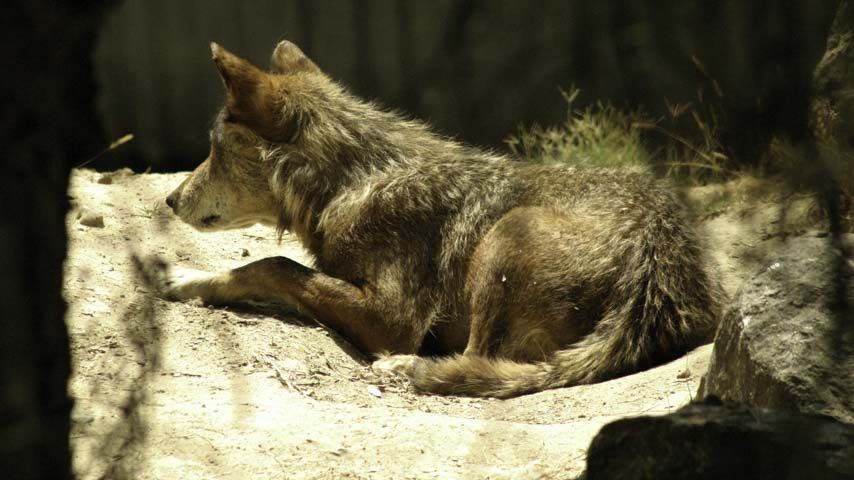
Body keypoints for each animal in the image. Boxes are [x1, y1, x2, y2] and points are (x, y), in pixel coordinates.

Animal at [156, 40, 723, 398]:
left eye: (214, 148)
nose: (170, 199)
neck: (350, 185)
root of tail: (662, 258)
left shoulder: (392, 319)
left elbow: (273, 265)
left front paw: (192, 279)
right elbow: (266, 268)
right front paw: (191, 275)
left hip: (507, 235)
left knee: (476, 357)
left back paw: (405, 368)